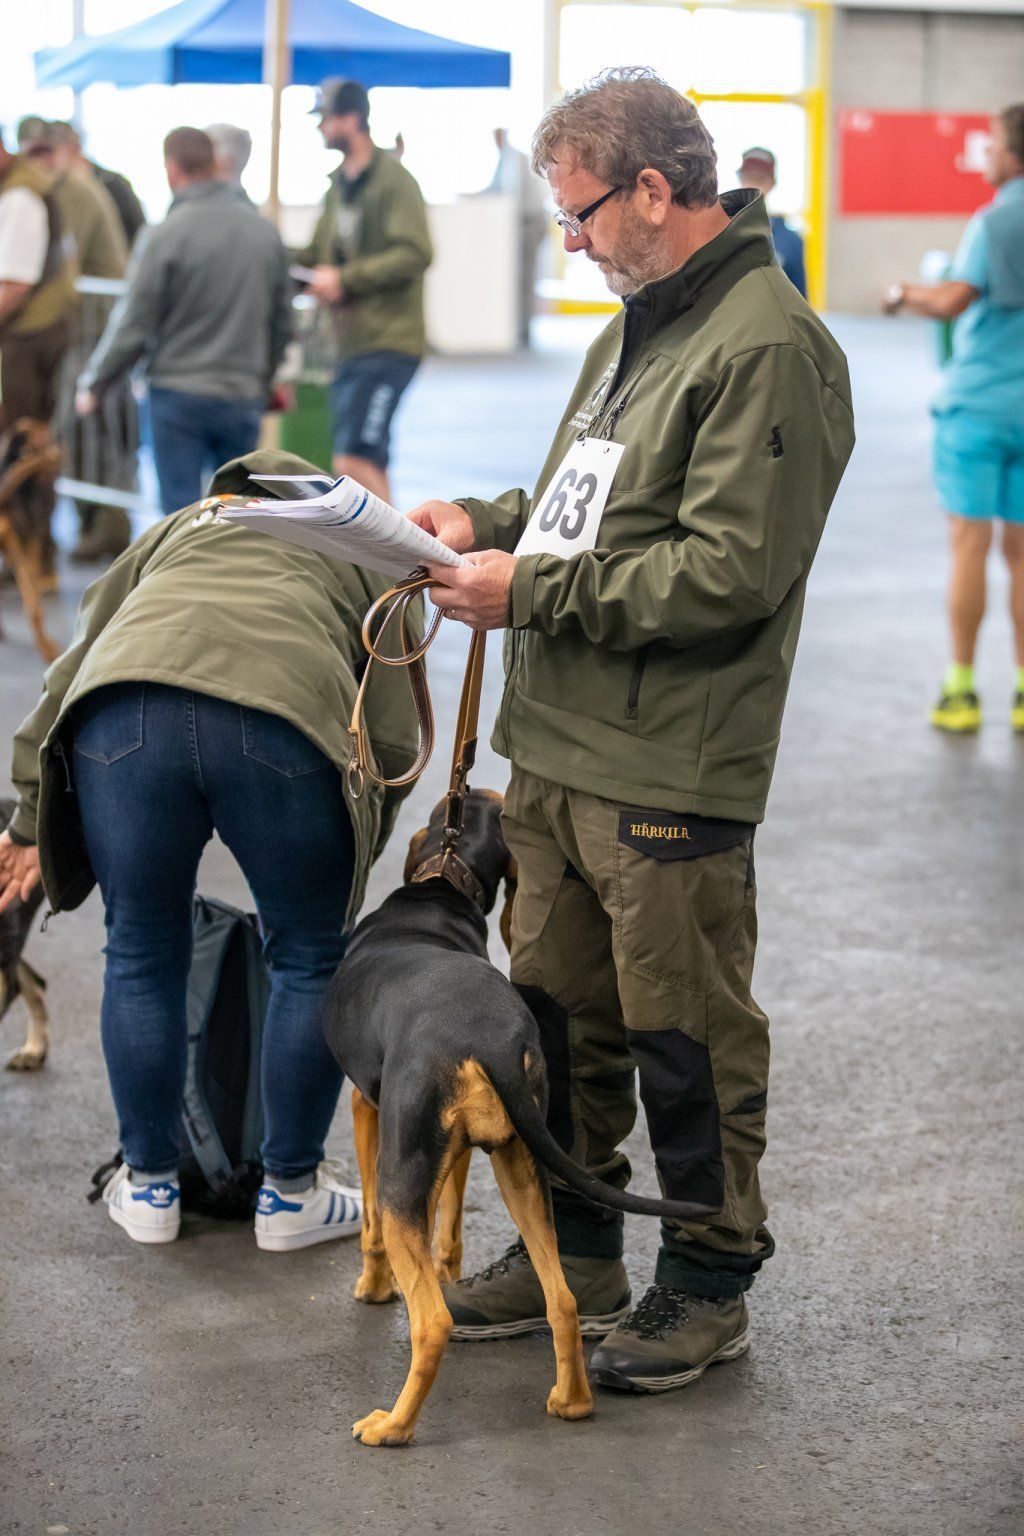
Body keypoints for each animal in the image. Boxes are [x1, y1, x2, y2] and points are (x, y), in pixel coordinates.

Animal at [323, 792, 709, 1449]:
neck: (440, 884)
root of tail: (492, 1041)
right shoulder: (459, 1150)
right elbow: (449, 1232)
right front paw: (445, 1268)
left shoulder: (365, 1109)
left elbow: (371, 1226)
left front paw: (373, 1289)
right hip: (521, 1165)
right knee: (563, 1300)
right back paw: (572, 1402)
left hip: (410, 1171)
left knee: (431, 1321)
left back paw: (393, 1427)